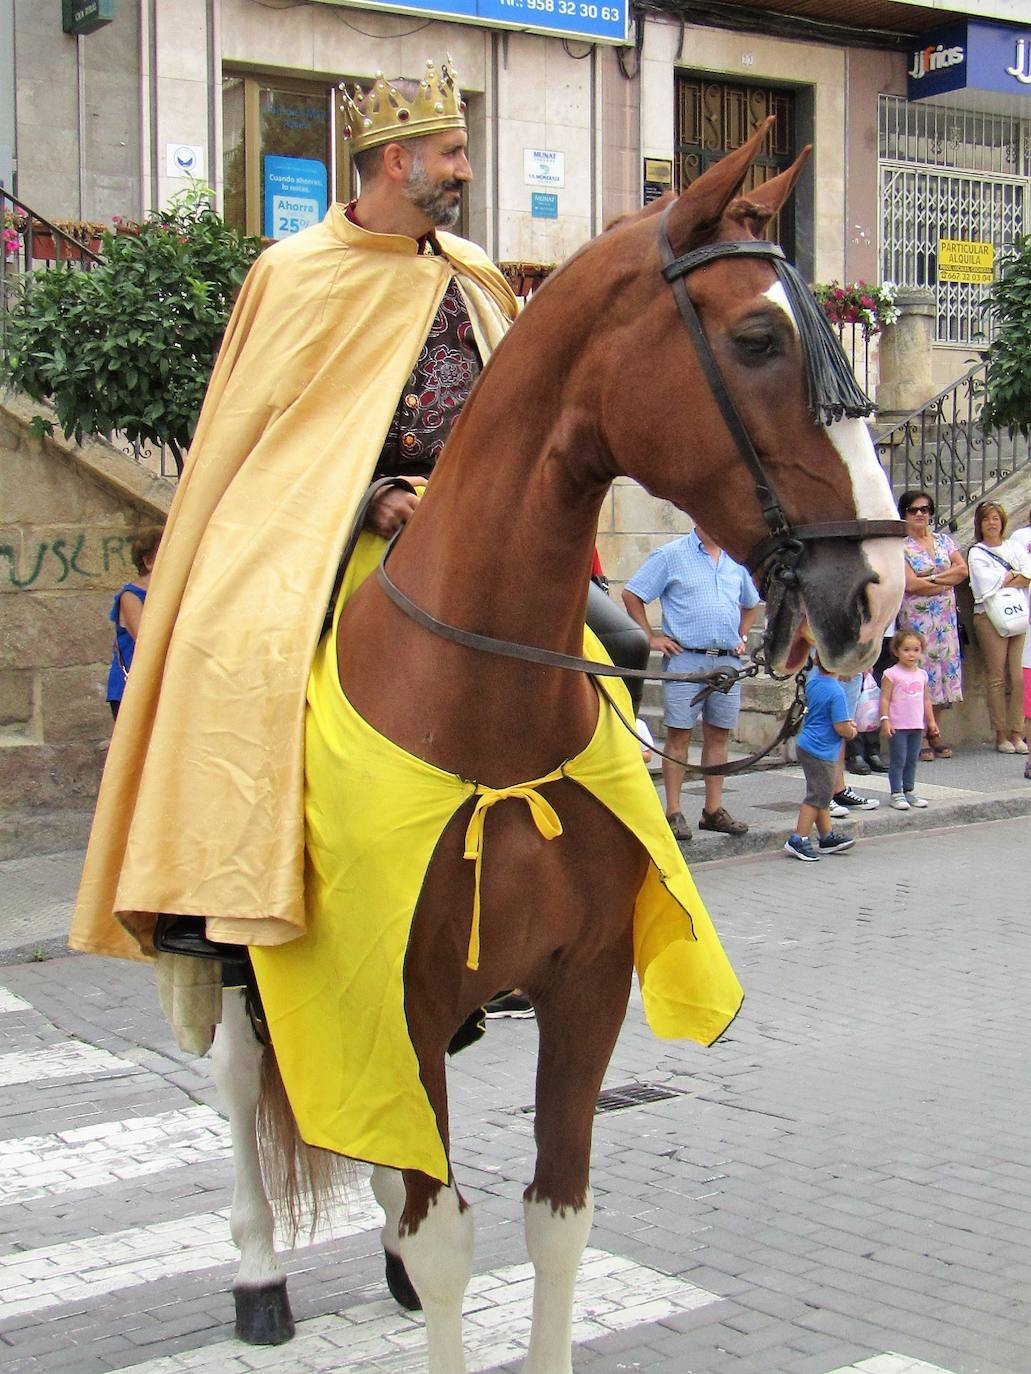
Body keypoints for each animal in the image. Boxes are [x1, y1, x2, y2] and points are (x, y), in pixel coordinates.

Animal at [237, 123, 901, 1368]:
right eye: (754, 339)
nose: (878, 591)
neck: (485, 721)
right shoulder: (393, 994)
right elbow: (446, 1235)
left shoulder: (582, 984)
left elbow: (555, 1219)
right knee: (234, 1088)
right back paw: (256, 1278)